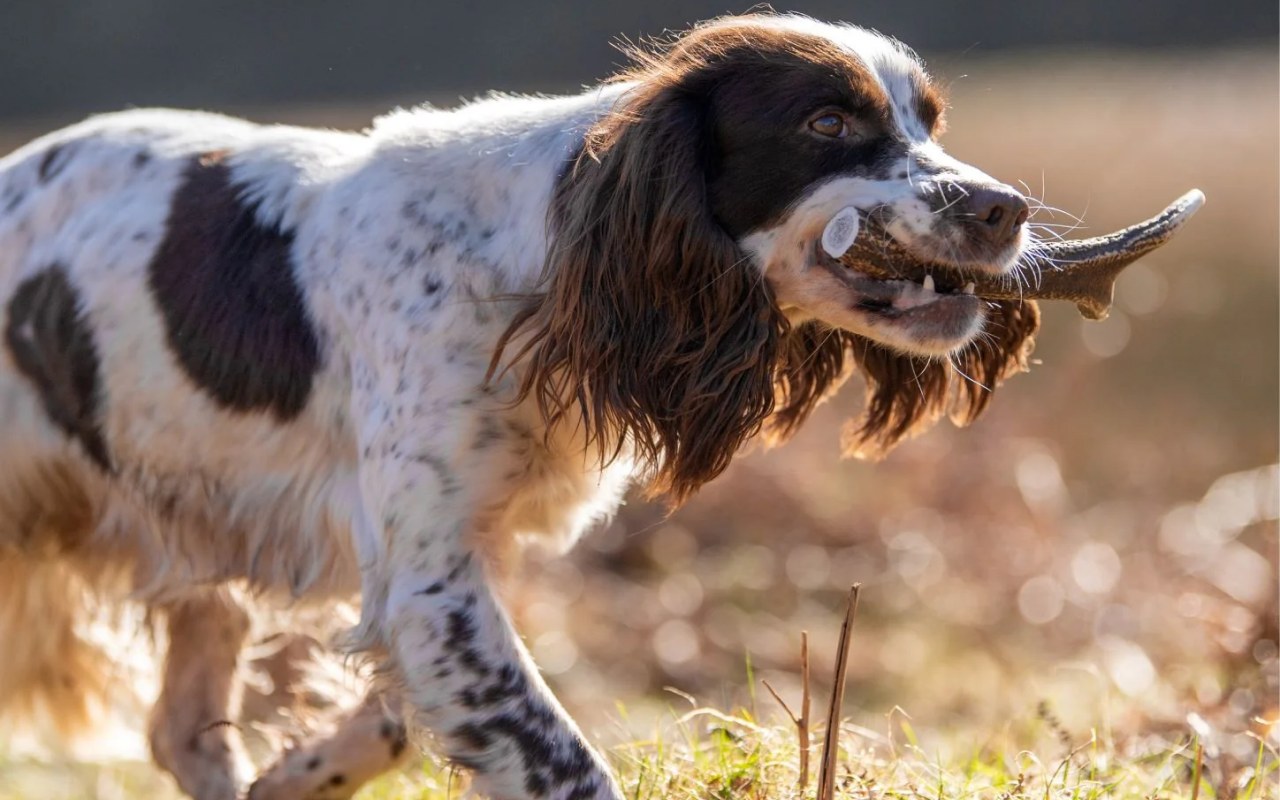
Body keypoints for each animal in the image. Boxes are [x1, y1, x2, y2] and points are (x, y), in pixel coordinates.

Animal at [0, 12, 1049, 798]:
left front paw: (296, 773)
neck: (535, 266)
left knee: (183, 730)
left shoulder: (445, 568)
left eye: (929, 121)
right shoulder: (428, 577)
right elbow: (559, 762)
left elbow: (394, 724)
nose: (1006, 208)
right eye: (827, 123)